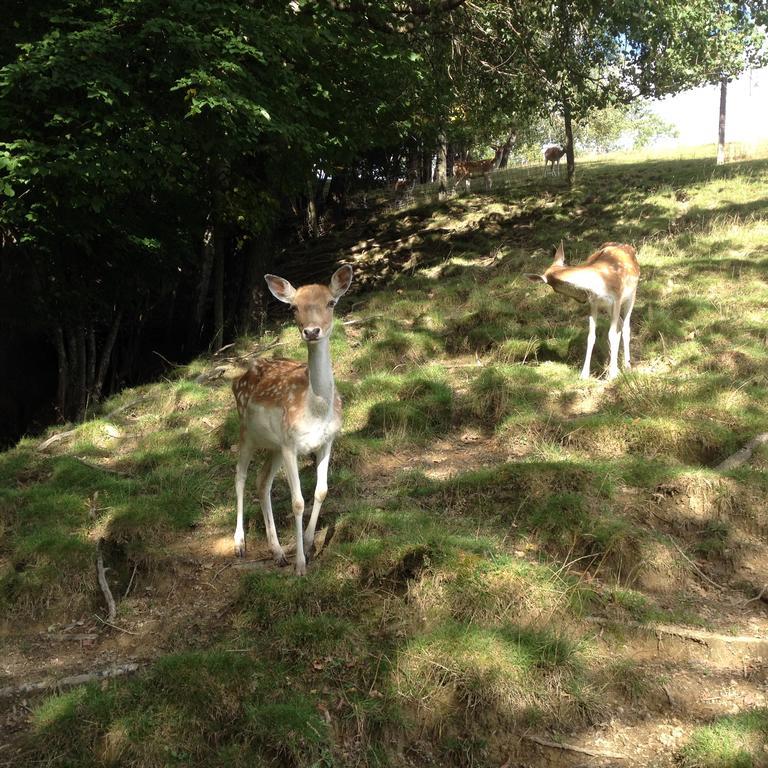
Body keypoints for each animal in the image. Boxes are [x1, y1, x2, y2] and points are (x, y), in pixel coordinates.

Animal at [231, 268, 354, 572]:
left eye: (331, 302)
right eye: (294, 307)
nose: (311, 331)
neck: (316, 409)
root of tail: (237, 379)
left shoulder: (327, 441)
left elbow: (321, 491)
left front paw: (309, 546)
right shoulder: (291, 444)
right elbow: (297, 502)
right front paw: (300, 565)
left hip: (273, 446)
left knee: (262, 482)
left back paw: (276, 551)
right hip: (247, 431)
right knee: (240, 476)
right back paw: (239, 544)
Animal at [524, 242, 640, 380]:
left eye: (556, 289)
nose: (581, 299)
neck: (600, 283)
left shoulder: (617, 299)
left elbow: (611, 334)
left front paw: (613, 375)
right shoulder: (594, 303)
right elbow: (591, 336)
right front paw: (584, 374)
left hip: (631, 295)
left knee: (625, 327)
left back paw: (627, 366)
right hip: (608, 307)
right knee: (620, 326)